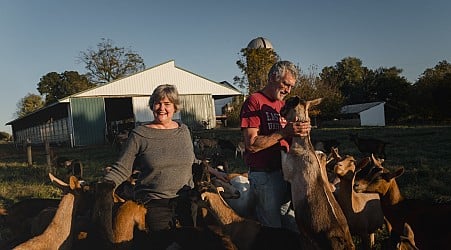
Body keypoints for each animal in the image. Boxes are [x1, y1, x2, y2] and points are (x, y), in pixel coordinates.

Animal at [280, 96, 354, 250]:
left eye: (287, 104)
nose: (280, 110)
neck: (305, 147)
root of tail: (343, 240)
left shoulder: (288, 170)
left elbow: (282, 153)